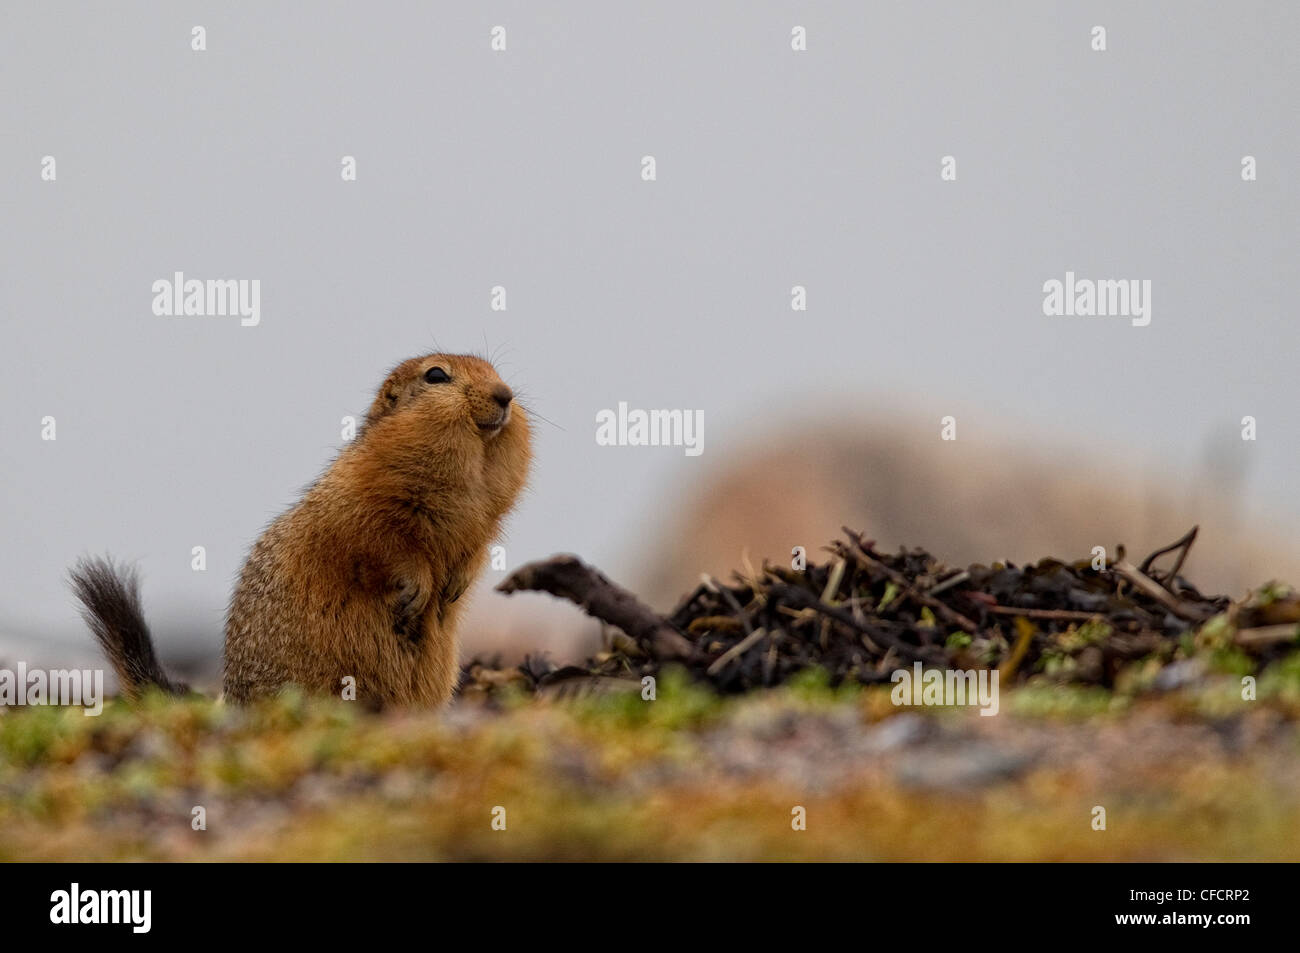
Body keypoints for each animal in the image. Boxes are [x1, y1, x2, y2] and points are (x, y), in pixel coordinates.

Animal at [68, 356, 527, 707]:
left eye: (493, 368)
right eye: (436, 375)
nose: (505, 394)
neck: (473, 468)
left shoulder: (479, 523)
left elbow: (474, 548)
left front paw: (455, 585)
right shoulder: (366, 502)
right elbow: (383, 545)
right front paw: (417, 586)